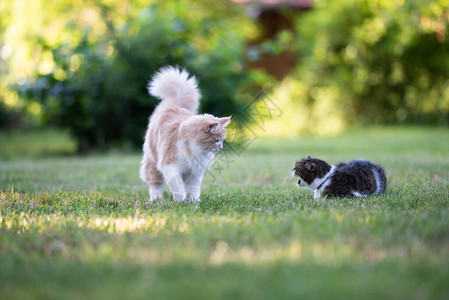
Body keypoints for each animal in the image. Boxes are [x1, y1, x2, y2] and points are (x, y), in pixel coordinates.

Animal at [139, 67, 231, 203]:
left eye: (221, 140)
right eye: (216, 140)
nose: (220, 147)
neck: (194, 148)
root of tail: (174, 105)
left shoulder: (195, 172)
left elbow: (193, 189)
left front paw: (193, 202)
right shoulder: (170, 166)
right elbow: (178, 186)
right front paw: (180, 200)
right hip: (153, 162)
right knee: (155, 184)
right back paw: (156, 198)